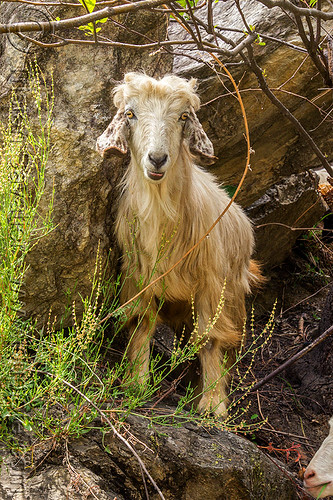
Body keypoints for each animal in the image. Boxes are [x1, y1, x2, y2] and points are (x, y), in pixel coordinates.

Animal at [96, 72, 260, 416]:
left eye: (184, 116)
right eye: (130, 113)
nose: (157, 159)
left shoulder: (212, 284)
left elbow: (211, 338)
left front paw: (213, 405)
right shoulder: (138, 276)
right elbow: (141, 324)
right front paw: (136, 383)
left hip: (234, 295)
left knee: (224, 345)